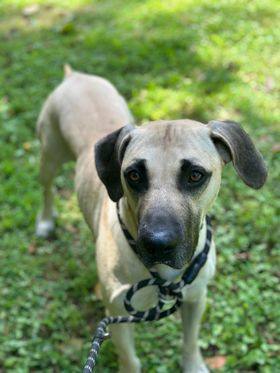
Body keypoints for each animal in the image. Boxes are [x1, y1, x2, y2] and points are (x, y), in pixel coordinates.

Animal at [35, 65, 266, 370]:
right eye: (133, 175)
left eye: (195, 175)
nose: (158, 243)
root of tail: (74, 76)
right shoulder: (116, 314)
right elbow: (130, 360)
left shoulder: (196, 297)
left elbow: (190, 342)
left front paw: (193, 365)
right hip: (49, 154)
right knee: (47, 188)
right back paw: (46, 219)